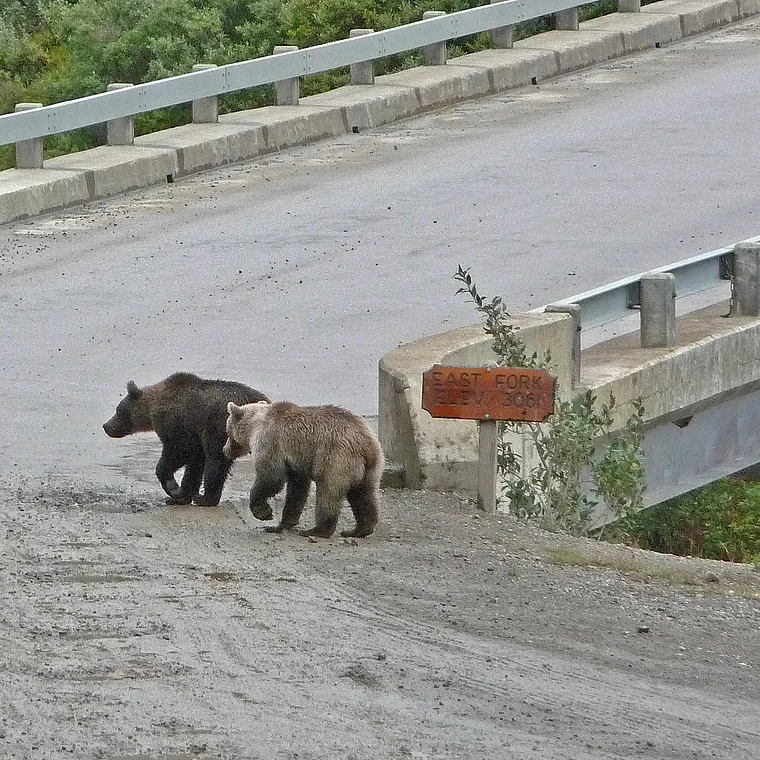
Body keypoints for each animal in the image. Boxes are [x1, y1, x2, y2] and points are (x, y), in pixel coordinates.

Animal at [103, 372, 269, 506]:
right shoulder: (195, 434)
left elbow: (180, 451)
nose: (106, 426)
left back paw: (206, 498)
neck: (152, 411)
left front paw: (173, 490)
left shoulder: (178, 423)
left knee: (216, 460)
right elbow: (195, 463)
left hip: (221, 426)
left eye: (118, 410)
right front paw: (182, 495)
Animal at [223, 400, 383, 538]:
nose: (225, 450)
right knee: (363, 494)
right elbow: (297, 490)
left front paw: (264, 513)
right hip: (370, 468)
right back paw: (359, 529)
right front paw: (281, 524)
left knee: (328, 493)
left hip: (336, 459)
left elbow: (270, 477)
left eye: (228, 432)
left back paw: (317, 530)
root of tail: (366, 442)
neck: (254, 427)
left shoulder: (270, 441)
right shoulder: (296, 462)